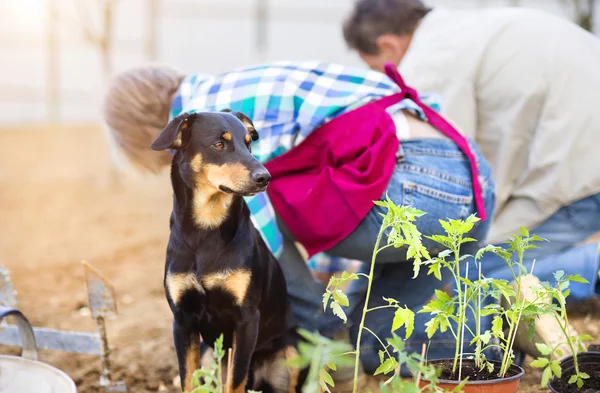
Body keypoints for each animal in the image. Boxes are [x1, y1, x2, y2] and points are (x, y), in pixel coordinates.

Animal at [150, 109, 300, 392]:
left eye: (248, 143)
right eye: (219, 145)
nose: (264, 177)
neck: (206, 229)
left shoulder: (247, 319)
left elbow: (236, 380)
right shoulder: (182, 320)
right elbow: (188, 379)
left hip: (291, 353)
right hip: (209, 354)